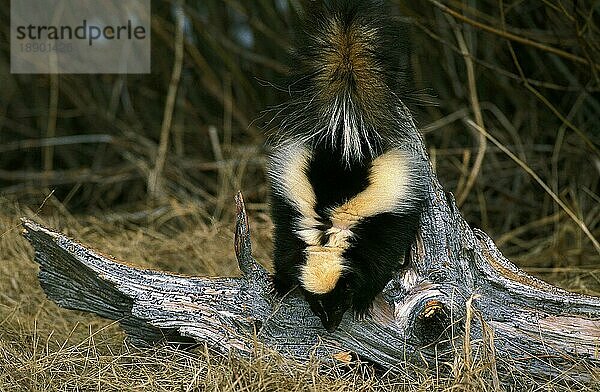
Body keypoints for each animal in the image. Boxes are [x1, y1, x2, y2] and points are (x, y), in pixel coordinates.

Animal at [268, 0, 426, 332]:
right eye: (316, 305)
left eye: (341, 300)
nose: (330, 325)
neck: (329, 233)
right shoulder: (294, 219)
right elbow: (286, 251)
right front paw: (281, 282)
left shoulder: (375, 229)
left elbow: (378, 265)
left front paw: (364, 301)